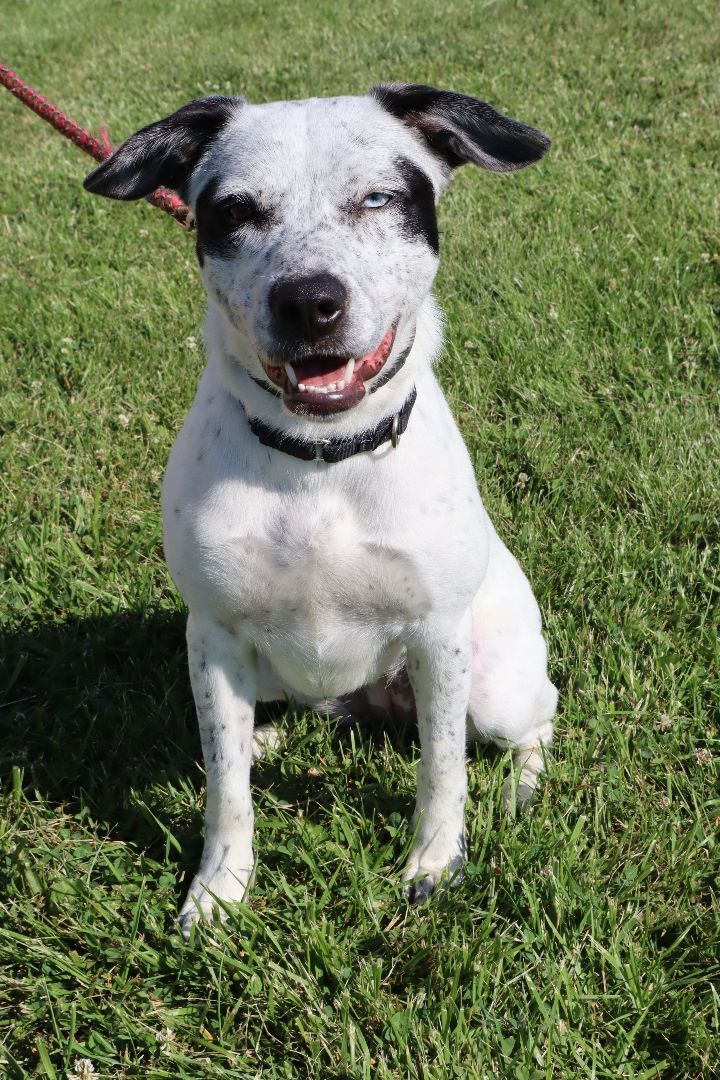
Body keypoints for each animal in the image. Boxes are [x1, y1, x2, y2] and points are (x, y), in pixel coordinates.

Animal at [84, 84, 557, 933]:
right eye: (234, 211)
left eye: (377, 198)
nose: (309, 302)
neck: (319, 460)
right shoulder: (213, 638)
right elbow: (226, 790)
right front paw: (219, 888)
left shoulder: (438, 637)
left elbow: (442, 769)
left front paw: (433, 864)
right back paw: (265, 742)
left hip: (497, 685)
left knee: (536, 721)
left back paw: (520, 790)